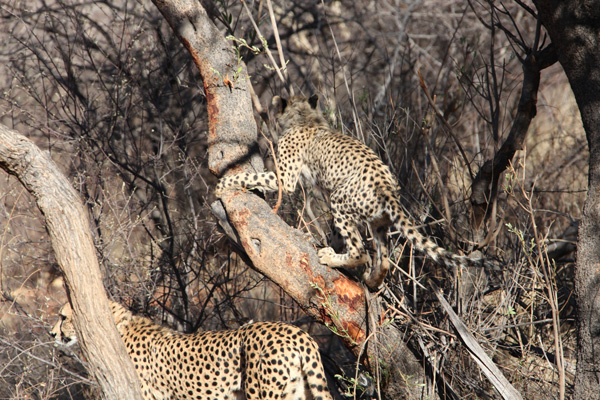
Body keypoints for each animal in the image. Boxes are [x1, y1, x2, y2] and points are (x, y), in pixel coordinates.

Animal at [216, 94, 488, 288]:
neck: (305, 117)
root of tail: (388, 188)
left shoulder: (285, 178)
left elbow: (253, 176)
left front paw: (221, 184)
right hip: (379, 222)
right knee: (384, 260)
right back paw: (371, 280)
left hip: (340, 199)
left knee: (361, 251)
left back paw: (332, 258)